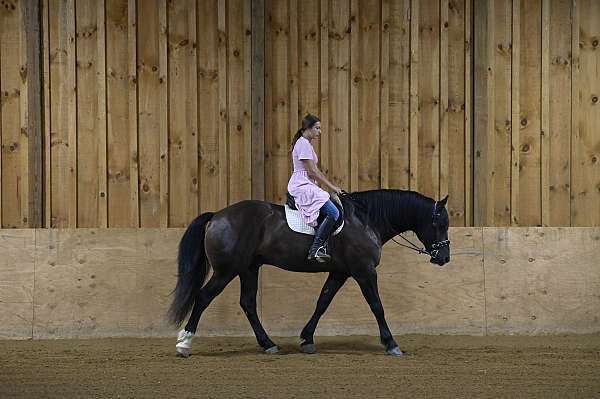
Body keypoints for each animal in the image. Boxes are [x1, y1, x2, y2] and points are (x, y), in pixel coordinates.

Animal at [169, 189, 450, 358]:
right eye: (439, 223)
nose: (444, 258)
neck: (365, 220)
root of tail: (217, 215)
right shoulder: (364, 271)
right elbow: (377, 306)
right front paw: (391, 343)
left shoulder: (339, 272)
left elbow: (322, 302)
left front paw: (306, 339)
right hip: (227, 270)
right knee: (203, 297)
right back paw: (184, 344)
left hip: (249, 269)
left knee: (247, 303)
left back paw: (268, 344)